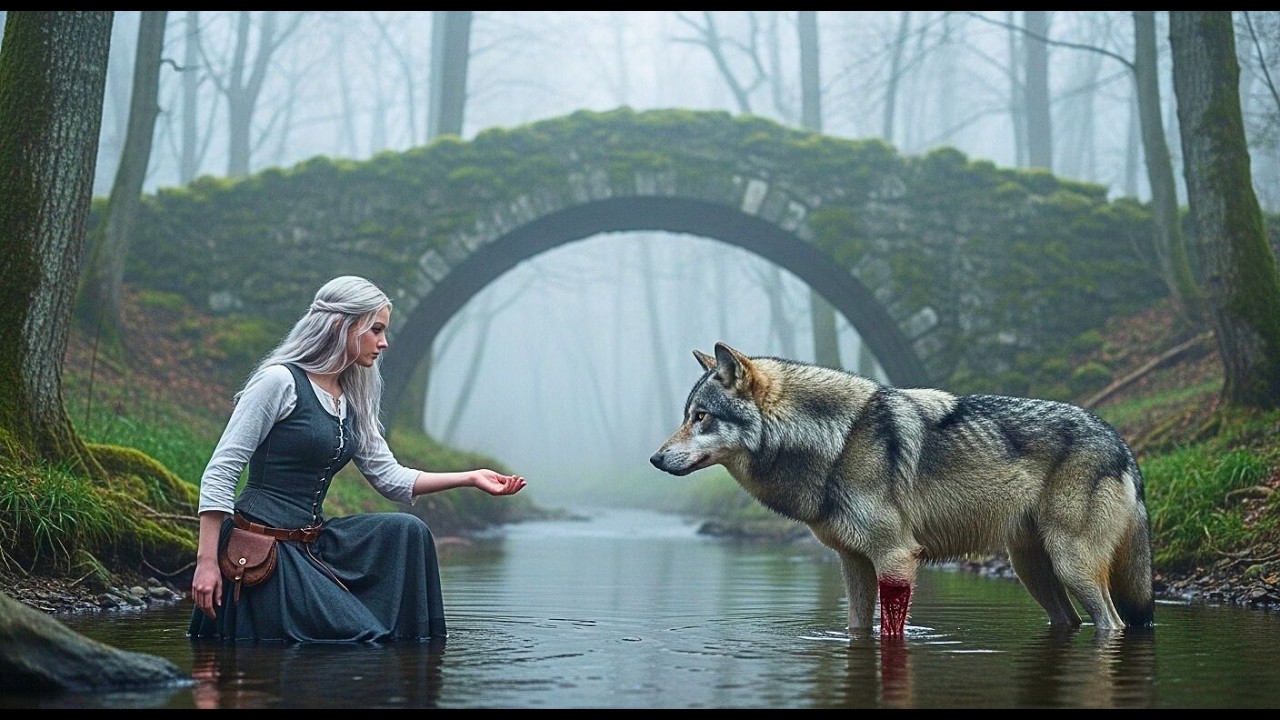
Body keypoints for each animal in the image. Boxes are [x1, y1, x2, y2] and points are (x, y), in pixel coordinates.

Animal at [649, 342, 1155, 637]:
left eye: (701, 417)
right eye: (686, 415)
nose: (654, 459)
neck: (837, 441)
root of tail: (1124, 446)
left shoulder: (896, 558)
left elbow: (893, 633)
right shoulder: (853, 564)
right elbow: (858, 629)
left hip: (1072, 567)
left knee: (1112, 623)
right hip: (1032, 570)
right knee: (1070, 620)